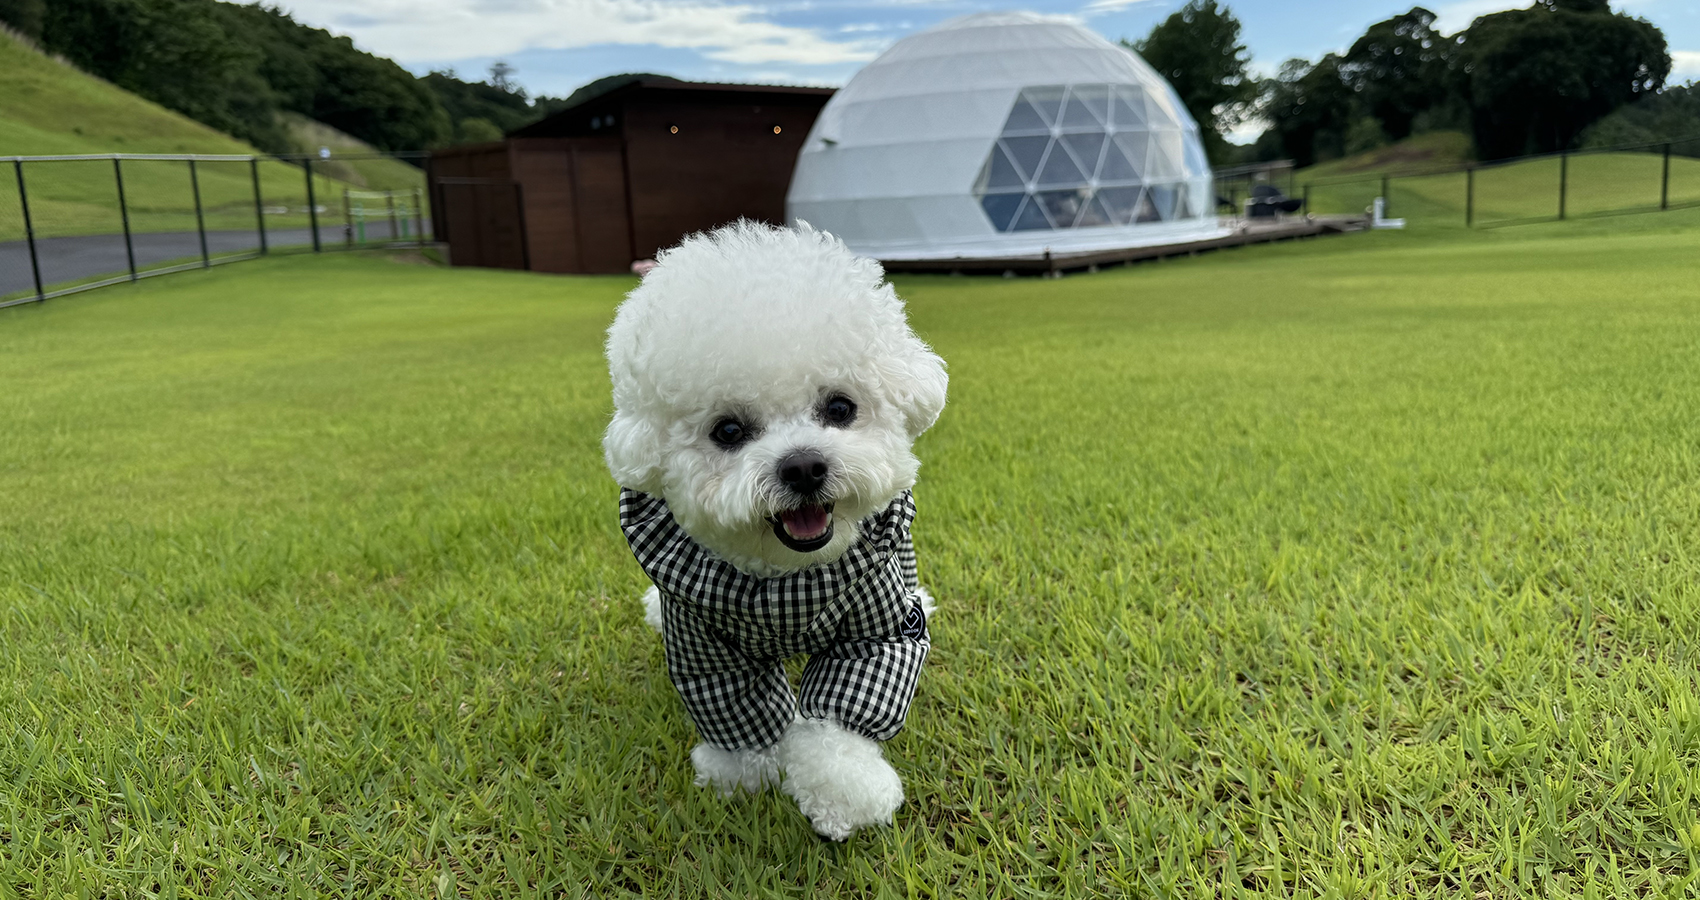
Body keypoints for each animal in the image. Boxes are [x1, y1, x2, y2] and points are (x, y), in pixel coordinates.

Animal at [601, 221, 952, 837]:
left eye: (840, 407)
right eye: (728, 430)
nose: (804, 466)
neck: (787, 583)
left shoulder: (875, 626)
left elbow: (843, 712)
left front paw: (843, 792)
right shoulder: (702, 639)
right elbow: (733, 702)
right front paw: (743, 771)